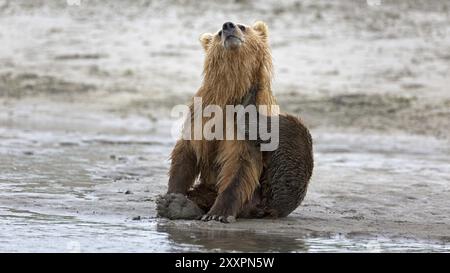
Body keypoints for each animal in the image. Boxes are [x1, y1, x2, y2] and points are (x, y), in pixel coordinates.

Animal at [157, 20, 312, 221]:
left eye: (243, 26)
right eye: (218, 32)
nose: (228, 25)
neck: (232, 91)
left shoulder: (241, 131)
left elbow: (240, 166)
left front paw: (218, 214)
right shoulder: (200, 114)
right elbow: (185, 153)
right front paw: (170, 197)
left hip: (271, 184)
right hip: (210, 186)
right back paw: (182, 206)